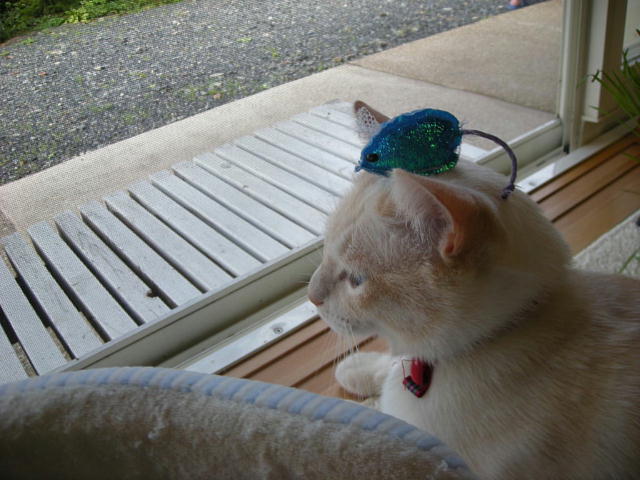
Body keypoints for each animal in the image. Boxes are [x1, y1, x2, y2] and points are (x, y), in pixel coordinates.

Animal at [307, 101, 640, 480]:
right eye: (326, 249)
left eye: (356, 280)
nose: (311, 296)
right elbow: (388, 372)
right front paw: (358, 369)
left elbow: (375, 428)